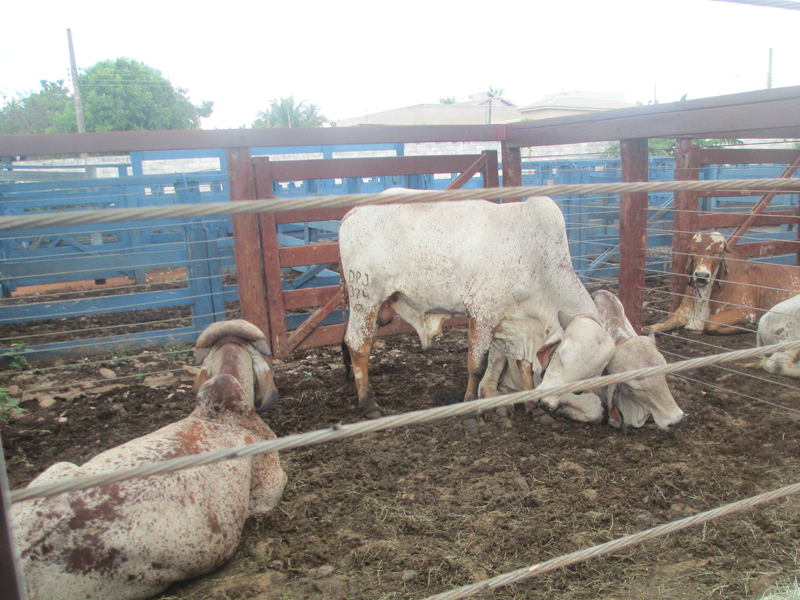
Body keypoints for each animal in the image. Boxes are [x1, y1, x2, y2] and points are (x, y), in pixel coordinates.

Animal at [336, 195, 612, 420]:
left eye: (584, 381)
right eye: (560, 358)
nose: (547, 403)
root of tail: (353, 212)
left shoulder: (519, 325)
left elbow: (524, 367)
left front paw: (533, 410)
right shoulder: (483, 313)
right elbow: (476, 366)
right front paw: (470, 412)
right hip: (366, 297)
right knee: (358, 345)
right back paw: (368, 403)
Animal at [648, 230, 800, 336]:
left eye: (718, 252)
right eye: (694, 250)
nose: (701, 276)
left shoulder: (745, 311)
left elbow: (709, 324)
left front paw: (746, 327)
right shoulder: (684, 309)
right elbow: (667, 320)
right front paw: (650, 328)